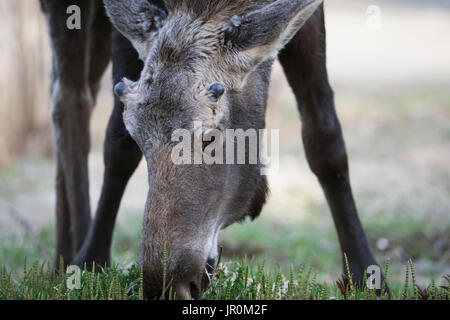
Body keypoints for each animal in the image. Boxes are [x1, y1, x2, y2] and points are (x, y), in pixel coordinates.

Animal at [40, 0, 382, 300]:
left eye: (210, 136)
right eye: (139, 136)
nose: (166, 285)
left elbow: (325, 138)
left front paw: (367, 278)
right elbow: (117, 142)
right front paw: (90, 263)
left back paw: (61, 255)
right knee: (69, 99)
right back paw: (71, 255)